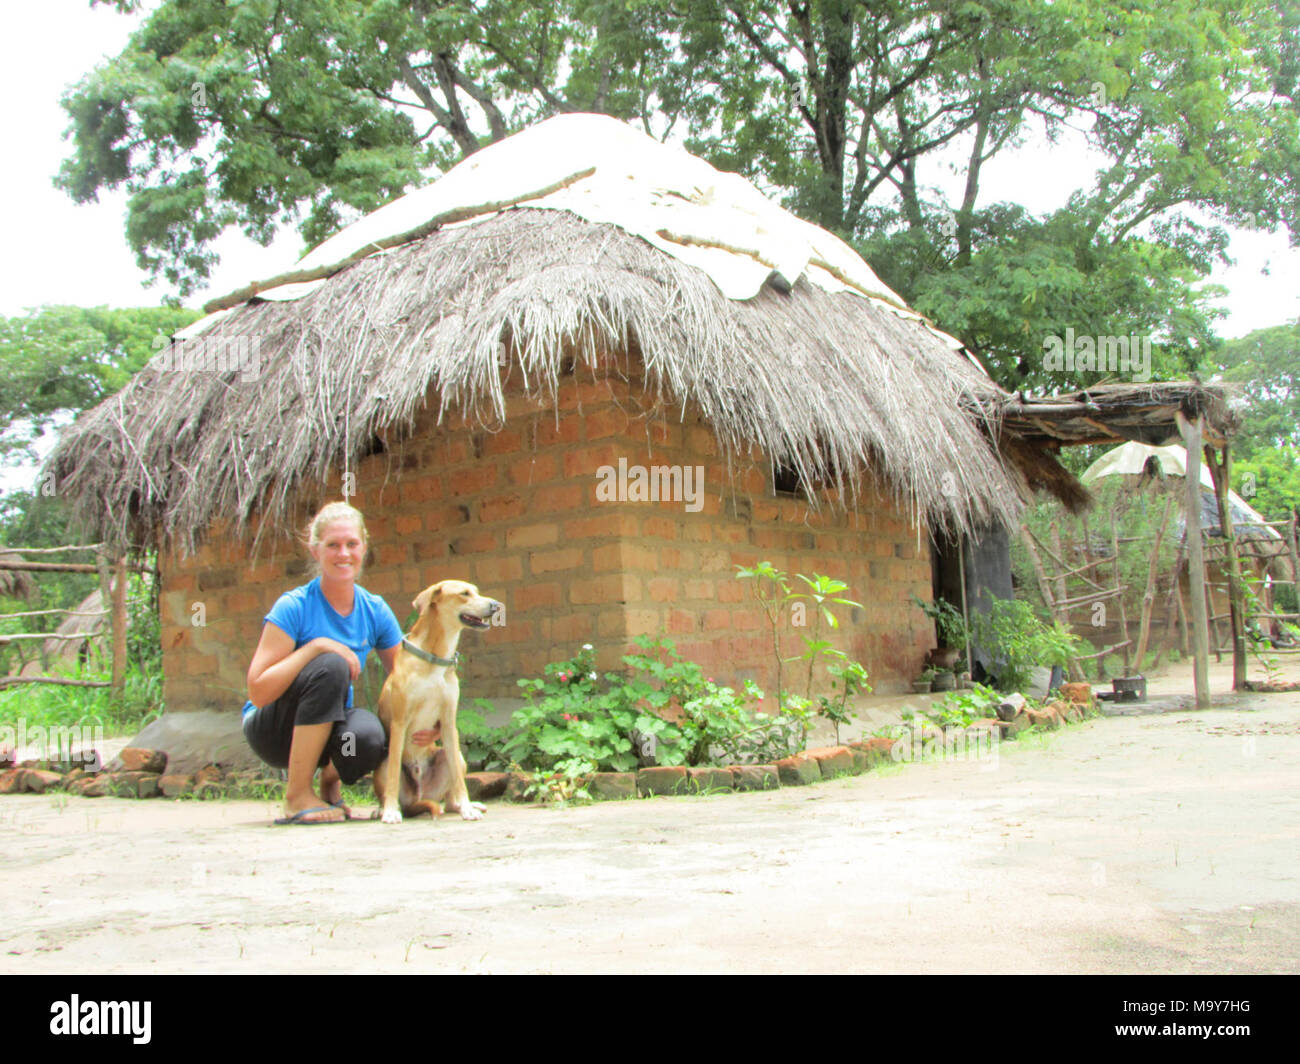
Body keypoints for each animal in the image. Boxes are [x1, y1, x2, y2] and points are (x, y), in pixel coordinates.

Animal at [377, 580, 501, 822]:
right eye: (464, 593)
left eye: (477, 591)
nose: (496, 605)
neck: (435, 657)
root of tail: (419, 796)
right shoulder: (399, 723)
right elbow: (393, 776)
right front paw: (389, 811)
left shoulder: (448, 722)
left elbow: (459, 781)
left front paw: (467, 808)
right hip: (382, 764)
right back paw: (383, 808)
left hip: (457, 757)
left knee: (451, 793)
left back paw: (464, 806)